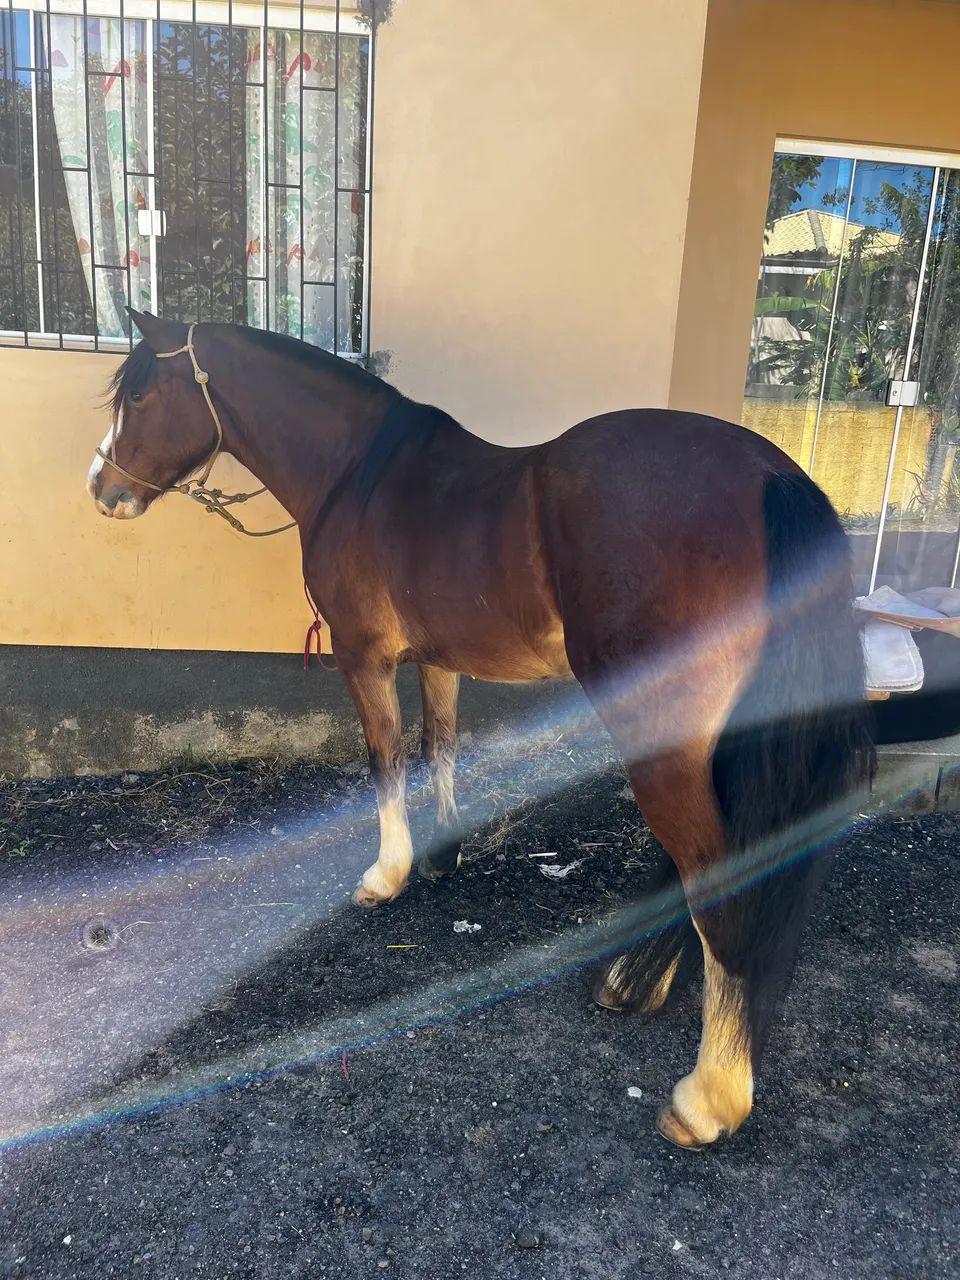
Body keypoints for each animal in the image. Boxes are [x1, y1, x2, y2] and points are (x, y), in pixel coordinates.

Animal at [87, 309, 876, 1151]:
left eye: (141, 393)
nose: (101, 489)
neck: (359, 473)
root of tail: (771, 478)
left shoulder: (364, 659)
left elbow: (386, 759)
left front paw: (387, 874)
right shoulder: (438, 660)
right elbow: (440, 747)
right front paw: (443, 853)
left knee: (717, 882)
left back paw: (708, 1098)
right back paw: (634, 985)